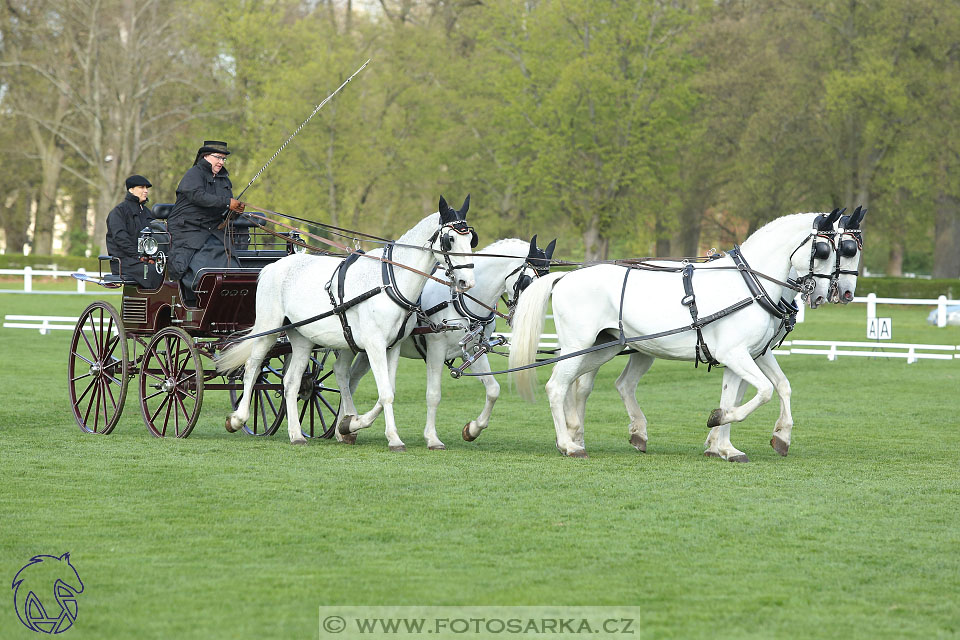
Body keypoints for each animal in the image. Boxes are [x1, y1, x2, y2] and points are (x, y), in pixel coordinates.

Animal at [216, 196, 474, 450]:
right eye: (450, 239)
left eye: (471, 238)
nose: (467, 282)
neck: (389, 282)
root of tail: (273, 266)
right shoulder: (375, 345)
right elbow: (385, 393)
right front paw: (392, 438)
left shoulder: (393, 347)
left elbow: (387, 392)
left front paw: (350, 424)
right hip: (269, 329)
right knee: (253, 367)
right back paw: (238, 419)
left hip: (302, 338)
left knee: (291, 382)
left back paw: (296, 434)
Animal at [344, 235, 556, 450]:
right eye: (528, 282)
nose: (527, 320)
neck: (461, 300)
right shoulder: (436, 350)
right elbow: (433, 394)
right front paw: (432, 438)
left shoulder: (473, 351)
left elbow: (493, 389)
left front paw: (472, 429)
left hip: (368, 350)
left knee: (352, 379)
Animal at [510, 212, 848, 458]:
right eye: (824, 250)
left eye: (848, 250)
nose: (832, 293)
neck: (750, 284)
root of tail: (565, 276)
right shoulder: (736, 354)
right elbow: (763, 391)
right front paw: (718, 424)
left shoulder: (747, 354)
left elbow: (765, 390)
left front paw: (728, 445)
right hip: (580, 345)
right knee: (557, 387)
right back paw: (569, 445)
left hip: (603, 346)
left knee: (583, 385)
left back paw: (583, 435)